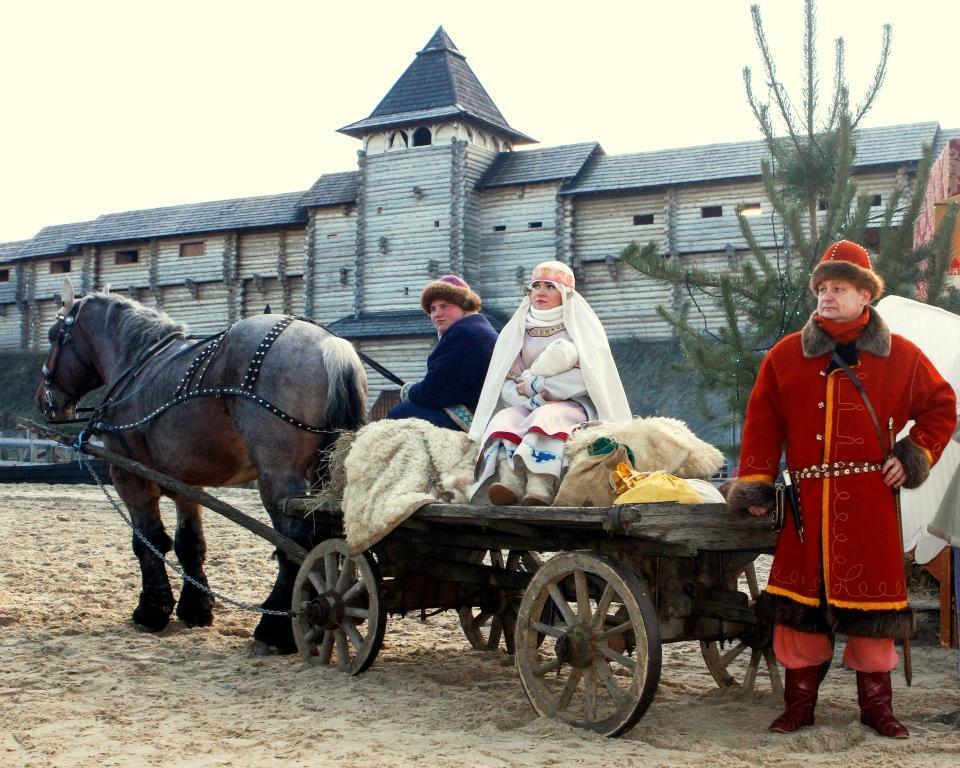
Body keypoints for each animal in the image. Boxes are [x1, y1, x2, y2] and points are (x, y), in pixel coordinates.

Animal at [36, 282, 368, 656]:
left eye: (54, 336)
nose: (43, 400)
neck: (138, 366)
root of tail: (328, 344)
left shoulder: (130, 478)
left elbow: (147, 540)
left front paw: (152, 611)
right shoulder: (187, 484)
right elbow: (190, 544)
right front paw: (195, 609)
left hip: (280, 478)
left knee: (295, 543)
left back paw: (276, 628)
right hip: (325, 475)